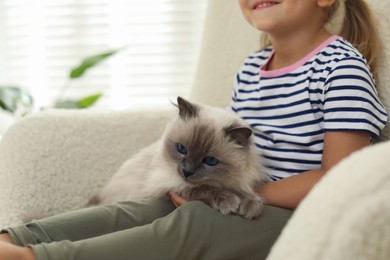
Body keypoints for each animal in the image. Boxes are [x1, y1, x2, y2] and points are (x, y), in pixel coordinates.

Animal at [88, 96, 270, 218]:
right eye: (182, 149)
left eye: (210, 161)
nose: (187, 171)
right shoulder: (168, 183)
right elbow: (202, 188)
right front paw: (230, 201)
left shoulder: (241, 181)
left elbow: (245, 192)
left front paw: (250, 205)